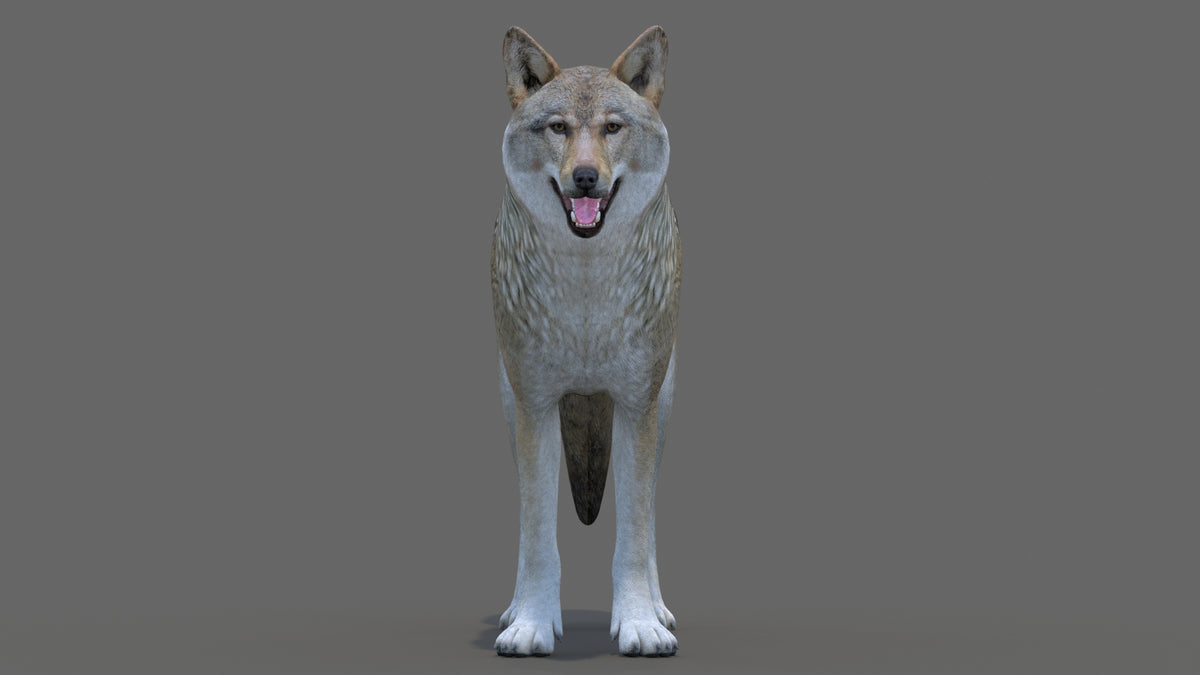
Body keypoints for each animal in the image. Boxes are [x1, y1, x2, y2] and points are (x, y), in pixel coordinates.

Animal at [491, 26, 681, 657]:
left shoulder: (636, 406)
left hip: (662, 407)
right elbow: (537, 536)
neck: (586, 294)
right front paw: (530, 623)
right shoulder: (535, 405)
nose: (585, 178)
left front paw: (641, 622)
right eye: (558, 128)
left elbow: (635, 535)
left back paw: (661, 609)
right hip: (510, 403)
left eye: (612, 128)